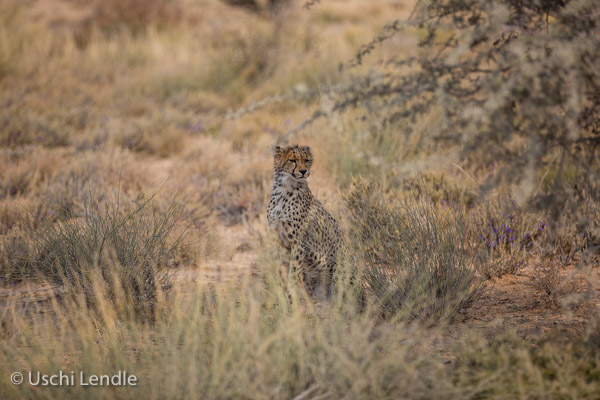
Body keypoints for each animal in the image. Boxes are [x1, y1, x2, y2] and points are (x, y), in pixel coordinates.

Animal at [268, 145, 342, 298]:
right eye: (292, 160)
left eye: (307, 160)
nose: (303, 171)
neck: (284, 190)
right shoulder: (279, 241)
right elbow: (282, 271)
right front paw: (280, 294)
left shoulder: (298, 245)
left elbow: (293, 274)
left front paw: (289, 297)